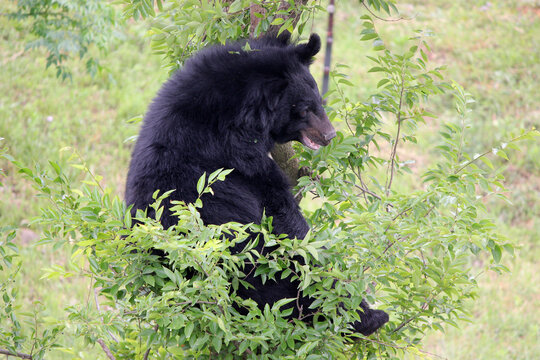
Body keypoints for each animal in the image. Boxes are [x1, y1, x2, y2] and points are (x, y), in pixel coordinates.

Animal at [125, 32, 388, 336]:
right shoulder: (239, 159)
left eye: (319, 101)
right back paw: (369, 317)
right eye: (304, 109)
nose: (330, 135)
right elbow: (283, 216)